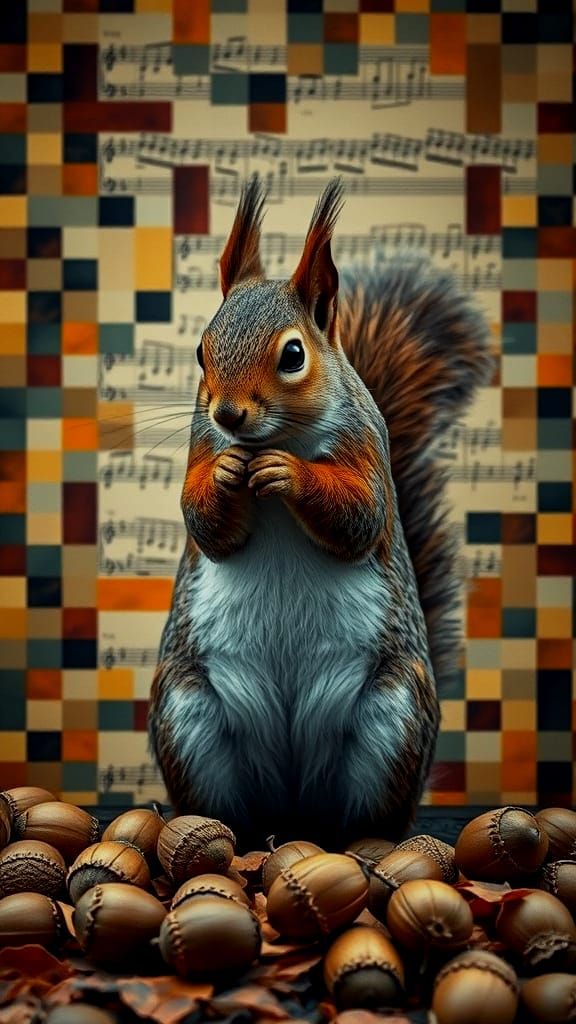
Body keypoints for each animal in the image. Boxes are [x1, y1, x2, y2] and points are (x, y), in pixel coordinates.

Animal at [148, 177, 493, 852]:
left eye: (292, 355)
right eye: (201, 350)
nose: (228, 414)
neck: (272, 439)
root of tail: (293, 807)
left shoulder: (367, 454)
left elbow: (357, 515)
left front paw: (290, 474)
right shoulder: (203, 449)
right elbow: (207, 527)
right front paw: (226, 479)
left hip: (392, 715)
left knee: (366, 816)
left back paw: (363, 845)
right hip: (187, 712)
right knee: (230, 810)